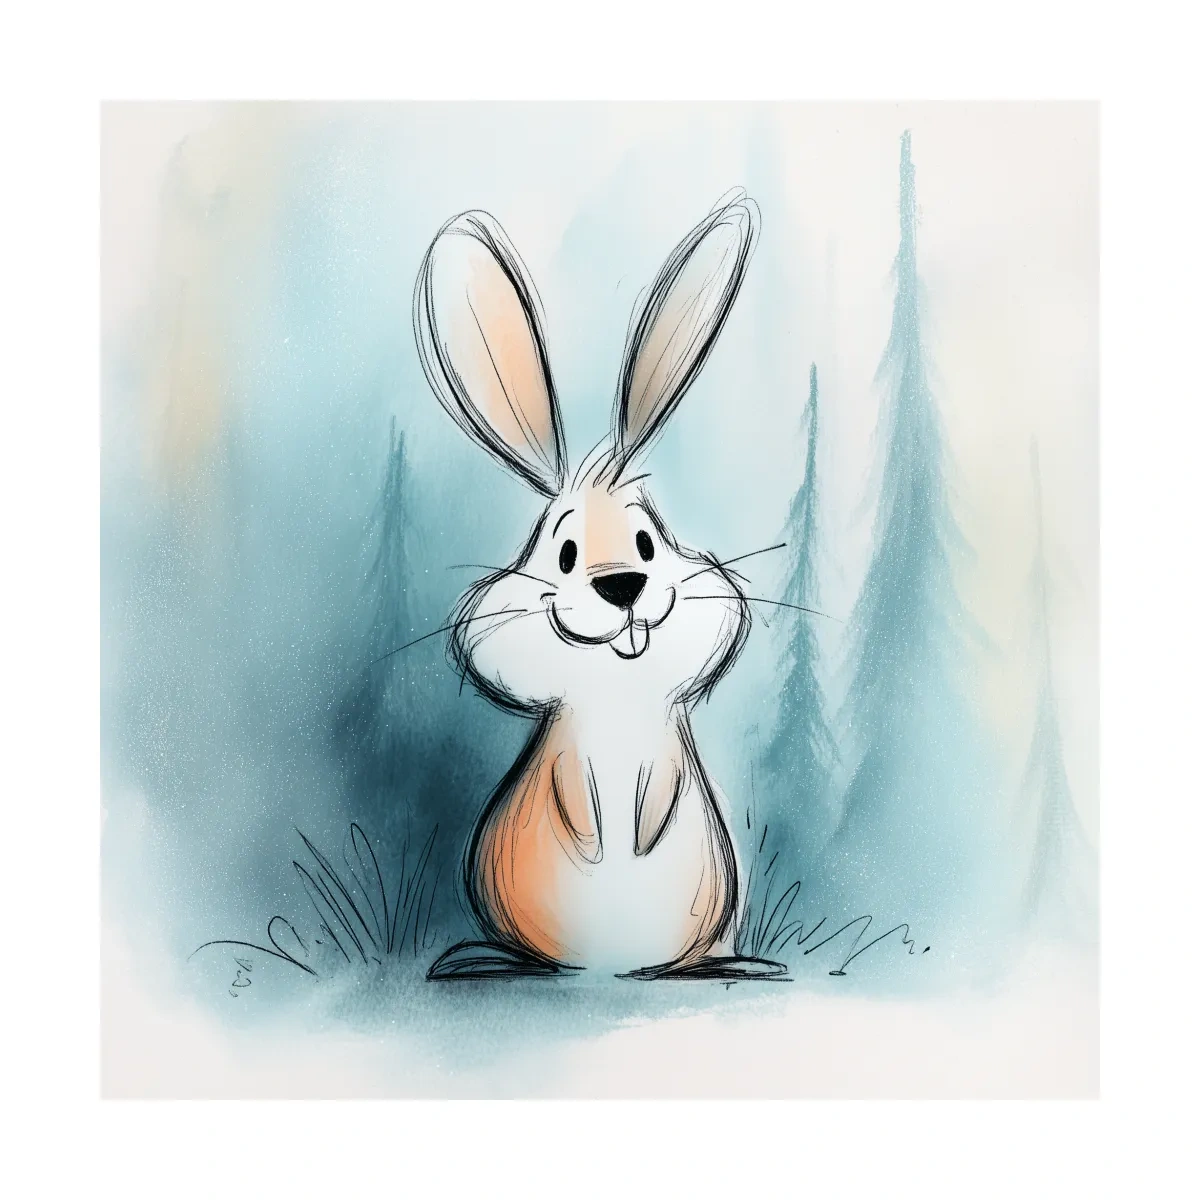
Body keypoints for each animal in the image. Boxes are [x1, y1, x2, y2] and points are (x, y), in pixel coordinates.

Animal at [414, 192, 786, 980]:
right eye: (564, 553)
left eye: (648, 540)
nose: (623, 585)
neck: (616, 696)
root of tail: (607, 971)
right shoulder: (566, 750)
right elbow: (573, 793)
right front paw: (596, 842)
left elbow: (659, 795)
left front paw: (637, 836)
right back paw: (484, 960)